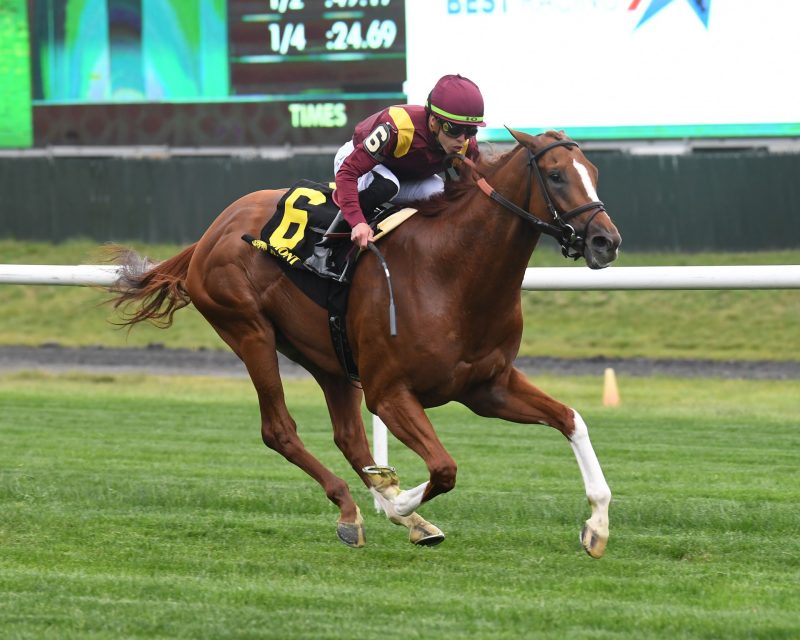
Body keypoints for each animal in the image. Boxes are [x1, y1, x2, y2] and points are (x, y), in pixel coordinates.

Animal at [108, 129, 620, 556]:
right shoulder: (389, 392)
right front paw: (396, 502)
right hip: (248, 330)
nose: (606, 241)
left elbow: (571, 419)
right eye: (555, 175)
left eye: (594, 174)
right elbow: (443, 468)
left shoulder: (486, 387)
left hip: (328, 357)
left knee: (348, 437)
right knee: (279, 429)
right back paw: (358, 508)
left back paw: (378, 513)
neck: (452, 272)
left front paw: (596, 525)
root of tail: (211, 232)